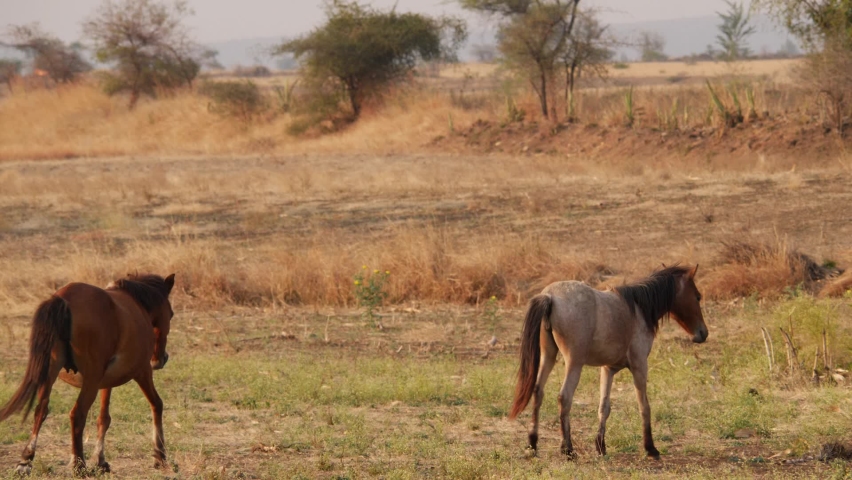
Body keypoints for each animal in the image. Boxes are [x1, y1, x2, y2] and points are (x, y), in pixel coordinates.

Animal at [0, 273, 176, 475]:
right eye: (171, 314)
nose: (161, 359)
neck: (136, 304)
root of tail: (63, 299)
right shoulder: (142, 371)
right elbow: (157, 404)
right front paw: (160, 456)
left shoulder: (106, 381)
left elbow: (103, 418)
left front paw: (100, 460)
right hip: (90, 381)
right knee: (77, 414)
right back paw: (79, 465)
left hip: (51, 374)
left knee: (41, 410)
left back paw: (26, 460)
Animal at [509, 265, 707, 459]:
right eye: (697, 296)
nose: (703, 333)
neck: (638, 310)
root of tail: (550, 296)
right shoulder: (639, 366)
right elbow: (644, 406)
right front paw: (650, 448)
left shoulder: (608, 369)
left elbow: (604, 407)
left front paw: (600, 446)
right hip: (574, 363)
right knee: (564, 397)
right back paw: (568, 449)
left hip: (548, 356)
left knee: (538, 391)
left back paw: (532, 444)